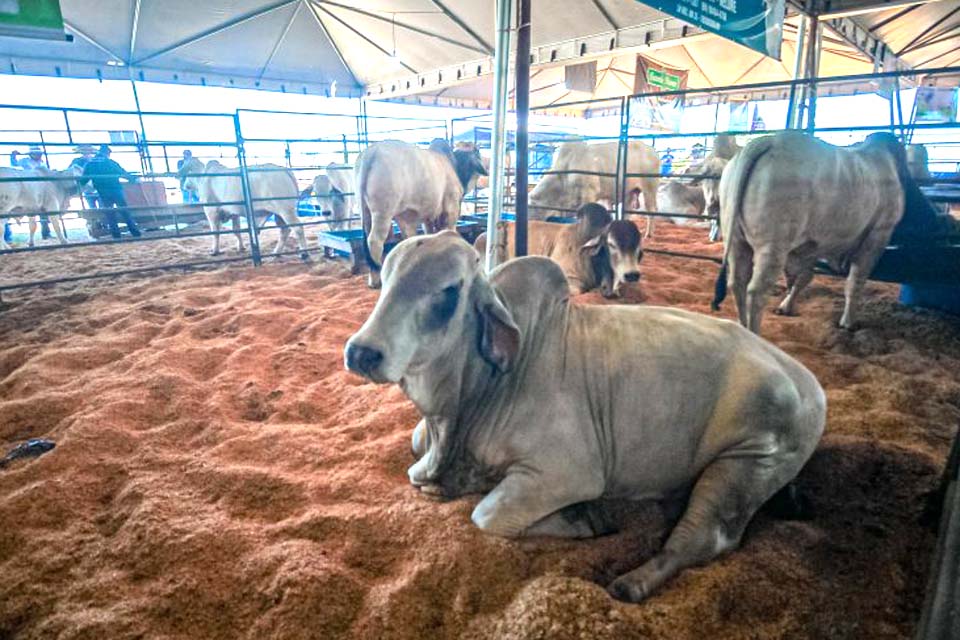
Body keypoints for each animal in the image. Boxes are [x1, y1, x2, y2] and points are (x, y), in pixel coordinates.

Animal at [182, 160, 310, 260]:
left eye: (188, 174)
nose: (185, 185)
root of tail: (284, 169)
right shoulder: (234, 213)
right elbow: (236, 230)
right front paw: (241, 247)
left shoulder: (211, 210)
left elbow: (215, 232)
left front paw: (215, 251)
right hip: (278, 213)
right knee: (284, 230)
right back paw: (276, 252)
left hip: (286, 210)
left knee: (298, 228)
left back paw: (304, 254)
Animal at [344, 232, 824, 604]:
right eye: (385, 277)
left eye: (449, 290)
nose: (362, 352)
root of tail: (807, 381)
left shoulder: (565, 472)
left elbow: (487, 515)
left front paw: (585, 519)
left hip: (745, 463)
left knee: (704, 539)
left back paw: (631, 582)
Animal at [524, 141, 660, 236]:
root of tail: (652, 151)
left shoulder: (589, 193)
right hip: (629, 192)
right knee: (627, 212)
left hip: (650, 188)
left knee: (652, 210)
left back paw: (648, 234)